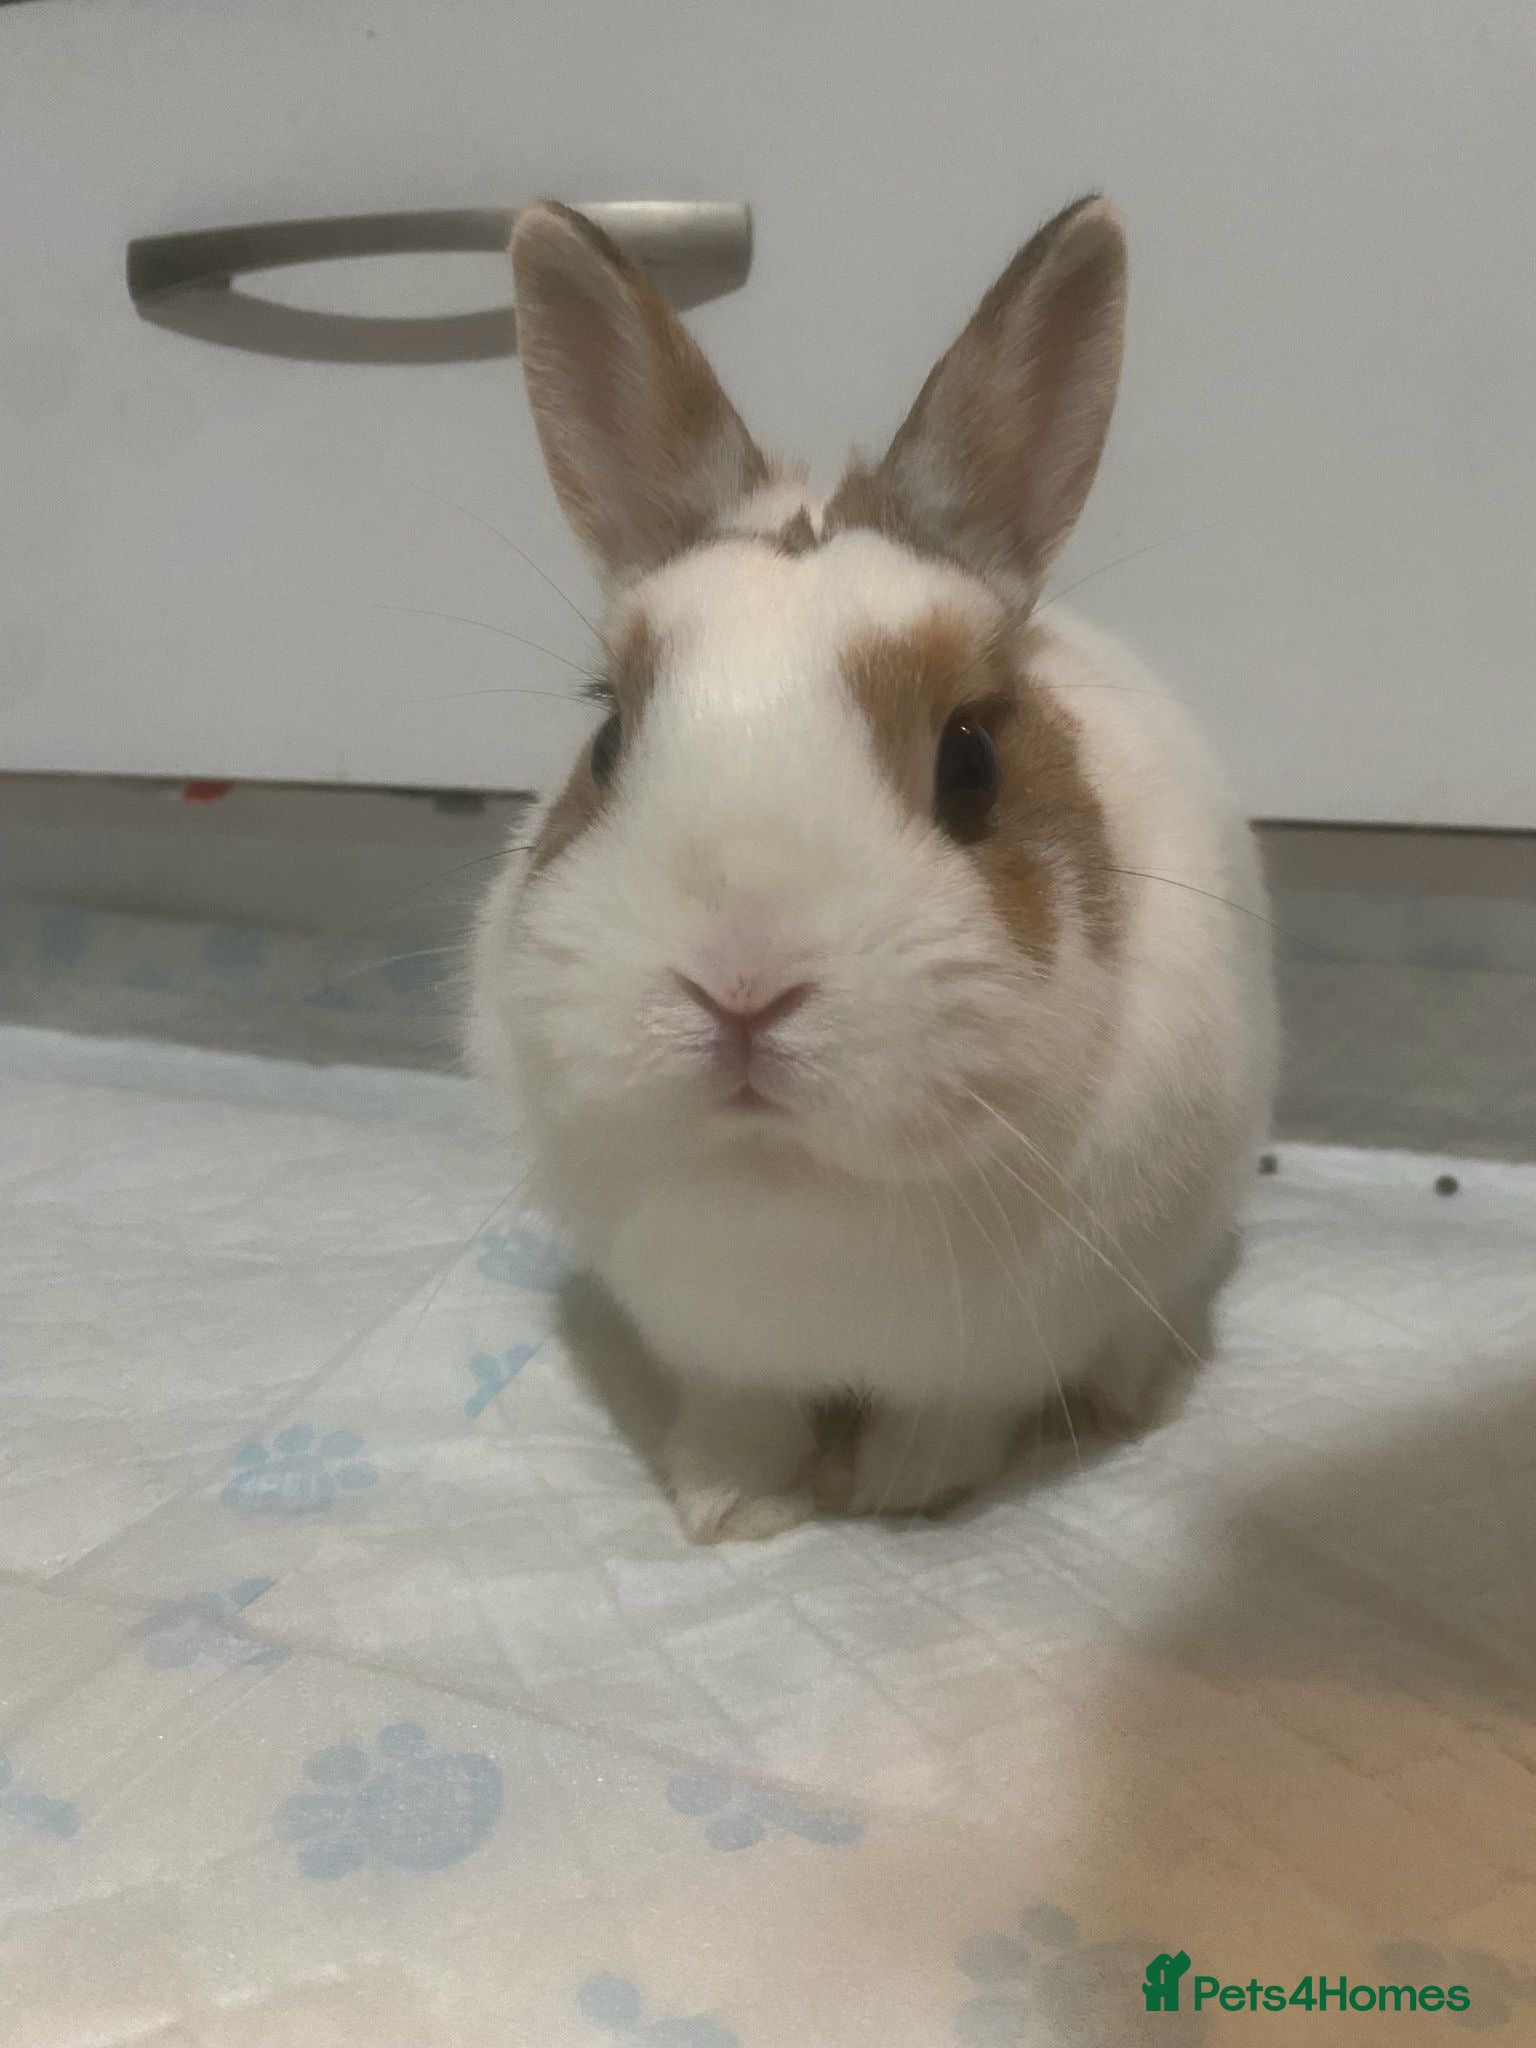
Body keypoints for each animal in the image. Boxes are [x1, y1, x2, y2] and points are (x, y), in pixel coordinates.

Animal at [469, 196, 1277, 1542]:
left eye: (971, 761)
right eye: (608, 736)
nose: (741, 985)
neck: (795, 1184)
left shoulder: (989, 1360)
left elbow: (950, 1418)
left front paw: (905, 1492)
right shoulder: (719, 1348)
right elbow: (742, 1410)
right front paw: (728, 1504)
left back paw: (1141, 1389)